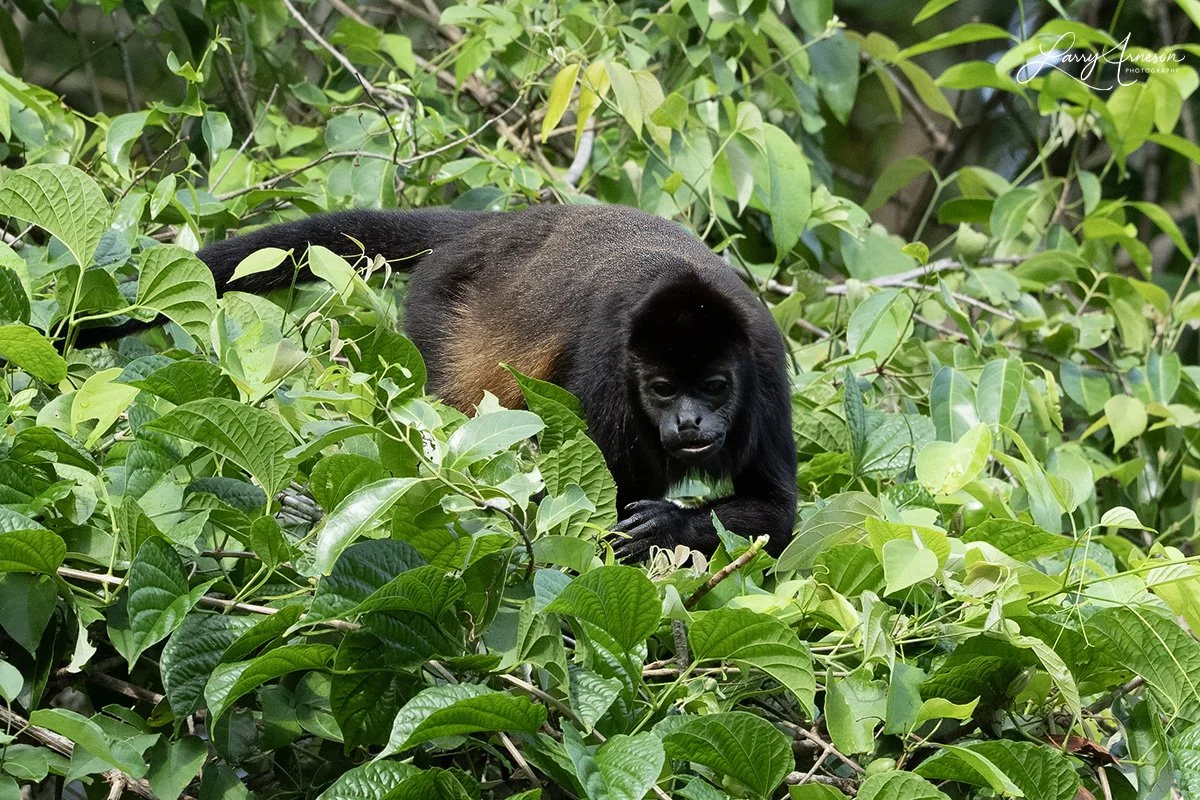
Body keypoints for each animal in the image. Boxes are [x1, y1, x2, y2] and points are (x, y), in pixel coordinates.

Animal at [77, 205, 797, 560]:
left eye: (713, 386)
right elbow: (593, 502)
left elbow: (777, 509)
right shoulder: (606, 365)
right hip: (439, 303)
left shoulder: (764, 367)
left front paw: (668, 526)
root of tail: (489, 225)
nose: (690, 422)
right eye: (662, 389)